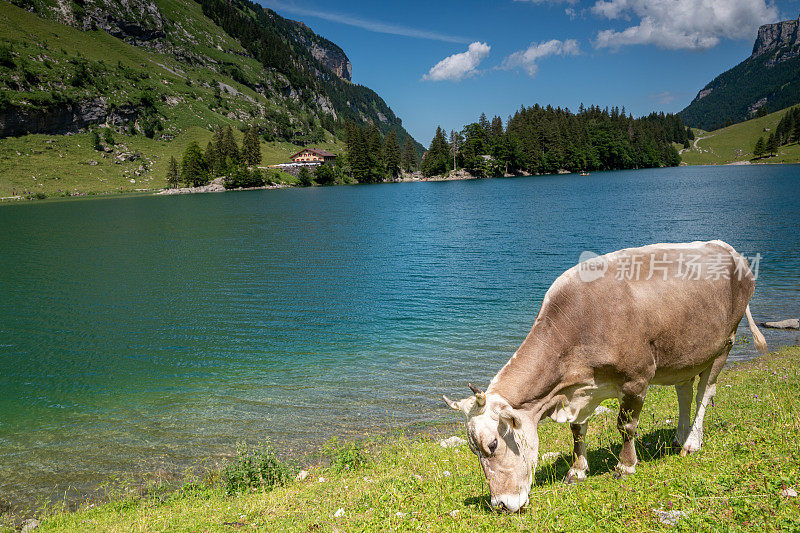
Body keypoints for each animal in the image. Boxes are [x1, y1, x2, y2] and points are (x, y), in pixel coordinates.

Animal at [444, 240, 768, 512]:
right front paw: (577, 470)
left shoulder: (637, 379)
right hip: (684, 353)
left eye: (493, 445)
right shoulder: (583, 389)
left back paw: (692, 442)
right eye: (473, 450)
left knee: (705, 392)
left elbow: (626, 425)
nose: (499, 504)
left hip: (724, 343)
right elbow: (577, 430)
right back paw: (679, 436)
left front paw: (625, 466)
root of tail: (729, 250)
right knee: (685, 391)